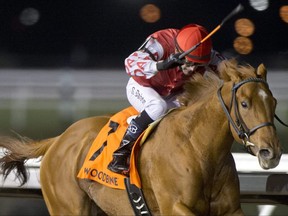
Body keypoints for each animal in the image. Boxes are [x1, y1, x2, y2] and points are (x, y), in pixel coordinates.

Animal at [0, 58, 282, 215]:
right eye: (244, 103)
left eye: (274, 102)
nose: (271, 152)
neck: (199, 149)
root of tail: (58, 139)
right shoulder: (174, 207)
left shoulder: (230, 209)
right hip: (67, 207)